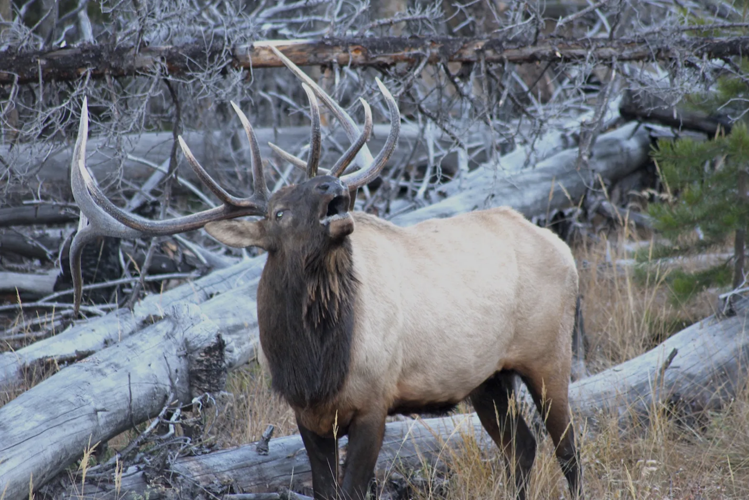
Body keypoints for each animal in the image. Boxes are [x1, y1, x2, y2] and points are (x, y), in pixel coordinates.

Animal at [68, 47, 583, 500]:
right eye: (277, 213)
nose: (330, 183)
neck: (315, 367)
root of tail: (561, 246)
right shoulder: (308, 417)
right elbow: (323, 489)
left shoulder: (375, 402)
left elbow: (353, 490)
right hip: (488, 378)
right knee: (522, 447)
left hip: (549, 355)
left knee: (568, 449)